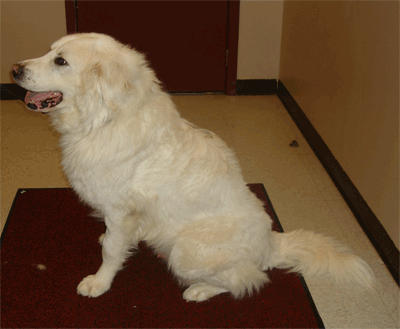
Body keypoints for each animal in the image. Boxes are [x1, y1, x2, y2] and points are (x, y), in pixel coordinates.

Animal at [13, 32, 376, 300]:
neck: (103, 120)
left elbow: (112, 253)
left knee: (249, 279)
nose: (14, 69)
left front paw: (99, 283)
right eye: (49, 51)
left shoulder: (120, 210)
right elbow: (114, 240)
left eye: (61, 61)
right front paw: (111, 240)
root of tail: (272, 244)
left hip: (186, 252)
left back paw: (200, 291)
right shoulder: (120, 215)